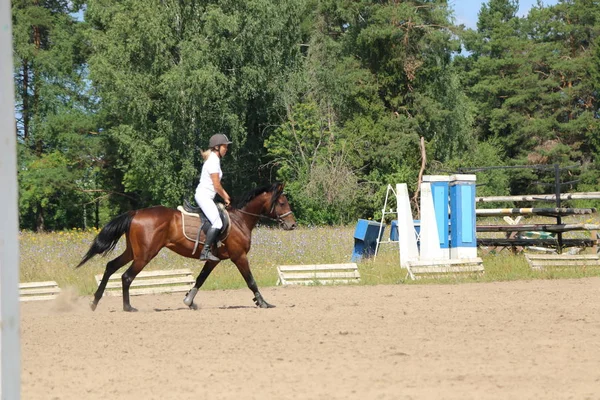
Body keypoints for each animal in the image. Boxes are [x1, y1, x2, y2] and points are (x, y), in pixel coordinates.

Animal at [77, 183, 298, 310]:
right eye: (282, 203)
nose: (292, 225)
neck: (240, 220)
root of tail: (136, 212)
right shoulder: (239, 256)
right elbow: (251, 281)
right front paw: (263, 303)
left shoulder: (213, 261)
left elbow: (200, 279)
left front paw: (188, 301)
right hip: (145, 254)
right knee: (126, 276)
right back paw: (128, 307)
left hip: (133, 252)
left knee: (111, 267)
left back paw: (95, 302)